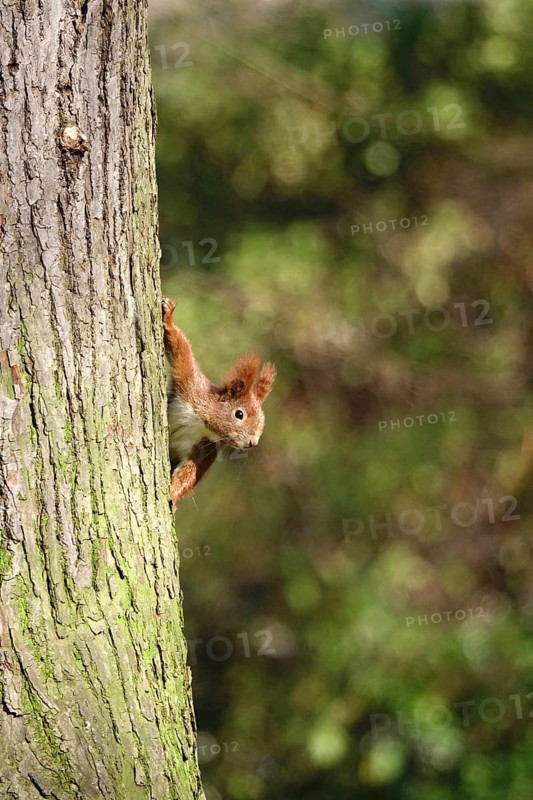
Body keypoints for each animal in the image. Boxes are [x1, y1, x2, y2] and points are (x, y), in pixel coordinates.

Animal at [162, 297, 276, 510]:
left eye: (263, 422)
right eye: (239, 414)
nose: (252, 443)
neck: (202, 422)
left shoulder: (205, 447)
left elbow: (189, 473)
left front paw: (173, 495)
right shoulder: (191, 384)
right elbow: (181, 349)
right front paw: (169, 317)